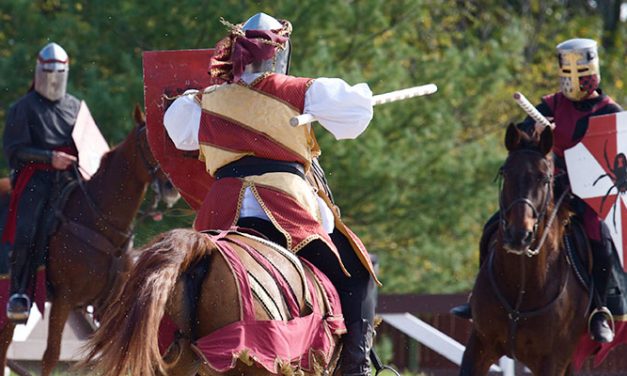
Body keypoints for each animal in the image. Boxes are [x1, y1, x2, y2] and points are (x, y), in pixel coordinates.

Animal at [0, 105, 182, 376]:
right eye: (149, 142)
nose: (171, 187)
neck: (97, 218)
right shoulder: (64, 298)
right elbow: (51, 355)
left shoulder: (109, 305)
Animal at [462, 125, 592, 374]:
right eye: (506, 173)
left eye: (544, 178)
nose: (519, 235)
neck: (522, 286)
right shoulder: (479, 345)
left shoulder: (553, 361)